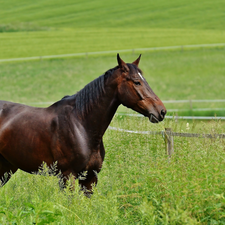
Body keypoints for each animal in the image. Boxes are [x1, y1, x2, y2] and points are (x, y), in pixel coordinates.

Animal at [0, 54, 165, 195]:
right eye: (137, 82)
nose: (162, 111)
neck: (81, 125)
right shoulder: (67, 176)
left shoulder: (90, 178)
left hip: (7, 168)